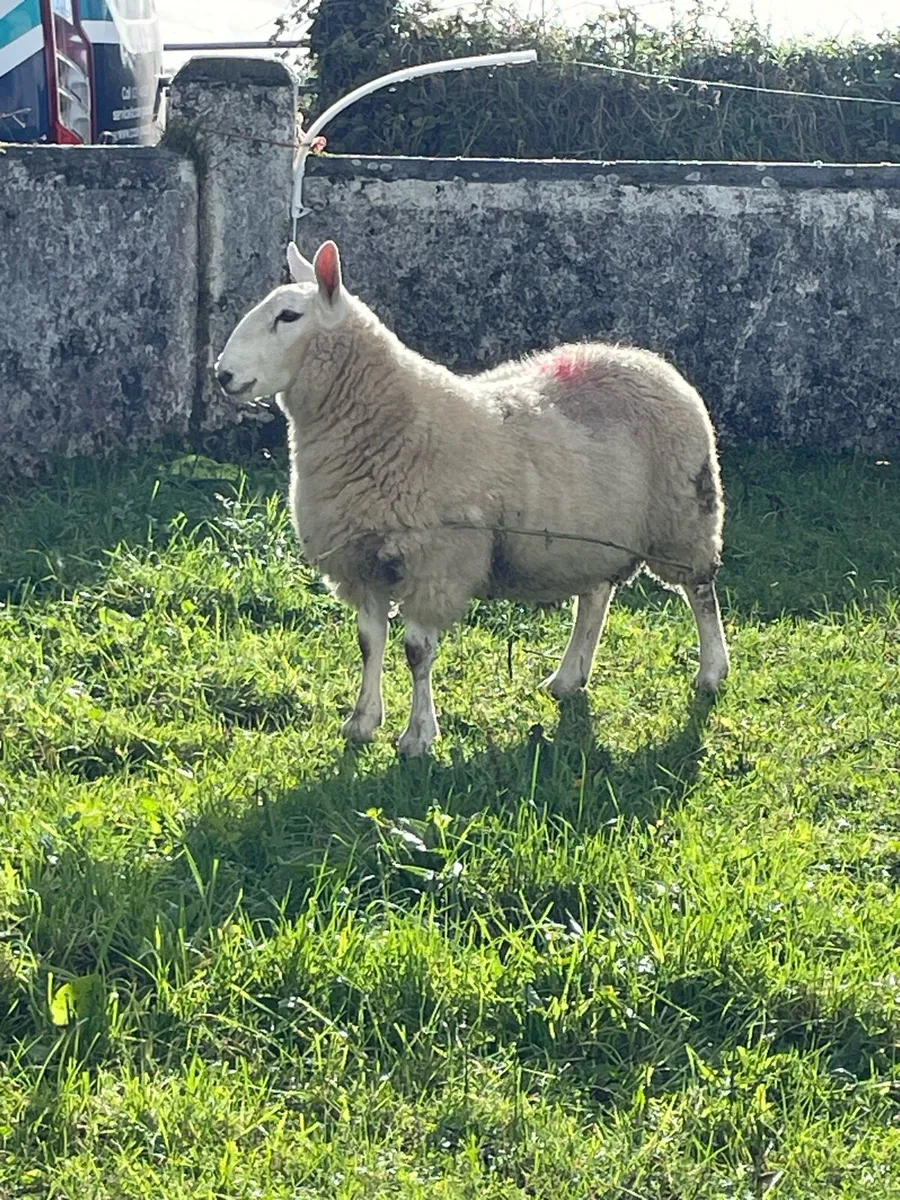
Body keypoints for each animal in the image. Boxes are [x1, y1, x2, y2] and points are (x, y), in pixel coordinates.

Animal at [215, 239, 729, 757]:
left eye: (288, 316)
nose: (222, 375)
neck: (391, 420)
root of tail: (643, 357)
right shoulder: (363, 563)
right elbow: (368, 643)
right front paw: (362, 722)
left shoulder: (434, 562)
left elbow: (416, 652)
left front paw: (418, 736)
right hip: (594, 533)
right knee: (595, 597)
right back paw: (569, 677)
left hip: (685, 514)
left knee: (701, 591)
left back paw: (712, 671)